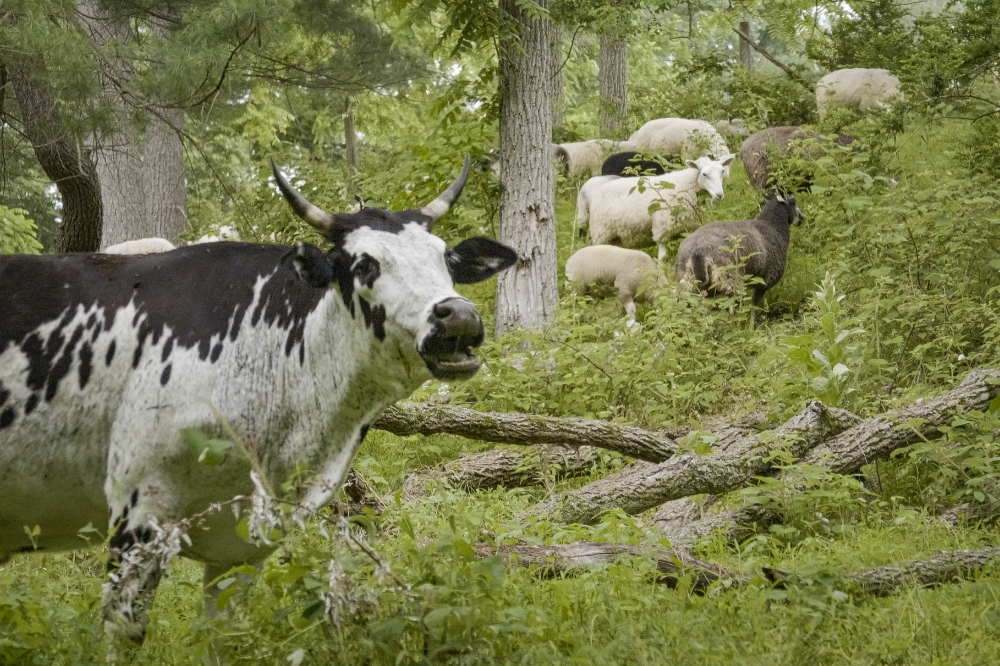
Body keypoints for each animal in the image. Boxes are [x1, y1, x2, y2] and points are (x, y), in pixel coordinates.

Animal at [0, 156, 516, 648]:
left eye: (445, 259)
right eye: (365, 265)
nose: (458, 316)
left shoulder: (243, 547)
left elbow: (228, 635)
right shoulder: (139, 509)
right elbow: (124, 631)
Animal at [580, 154, 736, 260]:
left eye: (722, 171)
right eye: (704, 174)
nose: (719, 194)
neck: (685, 185)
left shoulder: (690, 227)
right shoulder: (662, 227)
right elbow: (662, 256)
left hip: (614, 237)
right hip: (601, 232)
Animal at [672, 193, 804, 304]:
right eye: (793, 201)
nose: (802, 217)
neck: (774, 227)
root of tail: (697, 253)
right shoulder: (765, 280)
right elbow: (754, 306)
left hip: (690, 285)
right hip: (730, 279)